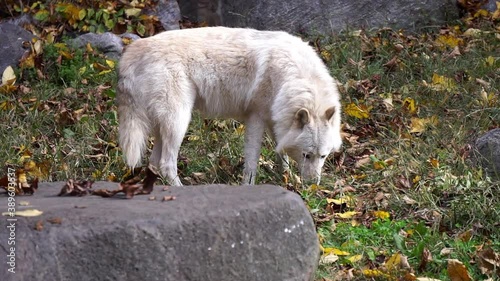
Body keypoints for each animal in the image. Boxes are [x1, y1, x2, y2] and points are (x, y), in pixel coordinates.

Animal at [118, 25, 344, 184]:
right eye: (307, 155)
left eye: (323, 156)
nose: (312, 184)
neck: (291, 76)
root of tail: (131, 52)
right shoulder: (256, 118)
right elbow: (252, 163)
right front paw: (249, 186)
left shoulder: (277, 119)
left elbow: (281, 153)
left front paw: (287, 178)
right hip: (179, 122)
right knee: (166, 165)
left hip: (162, 127)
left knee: (154, 164)